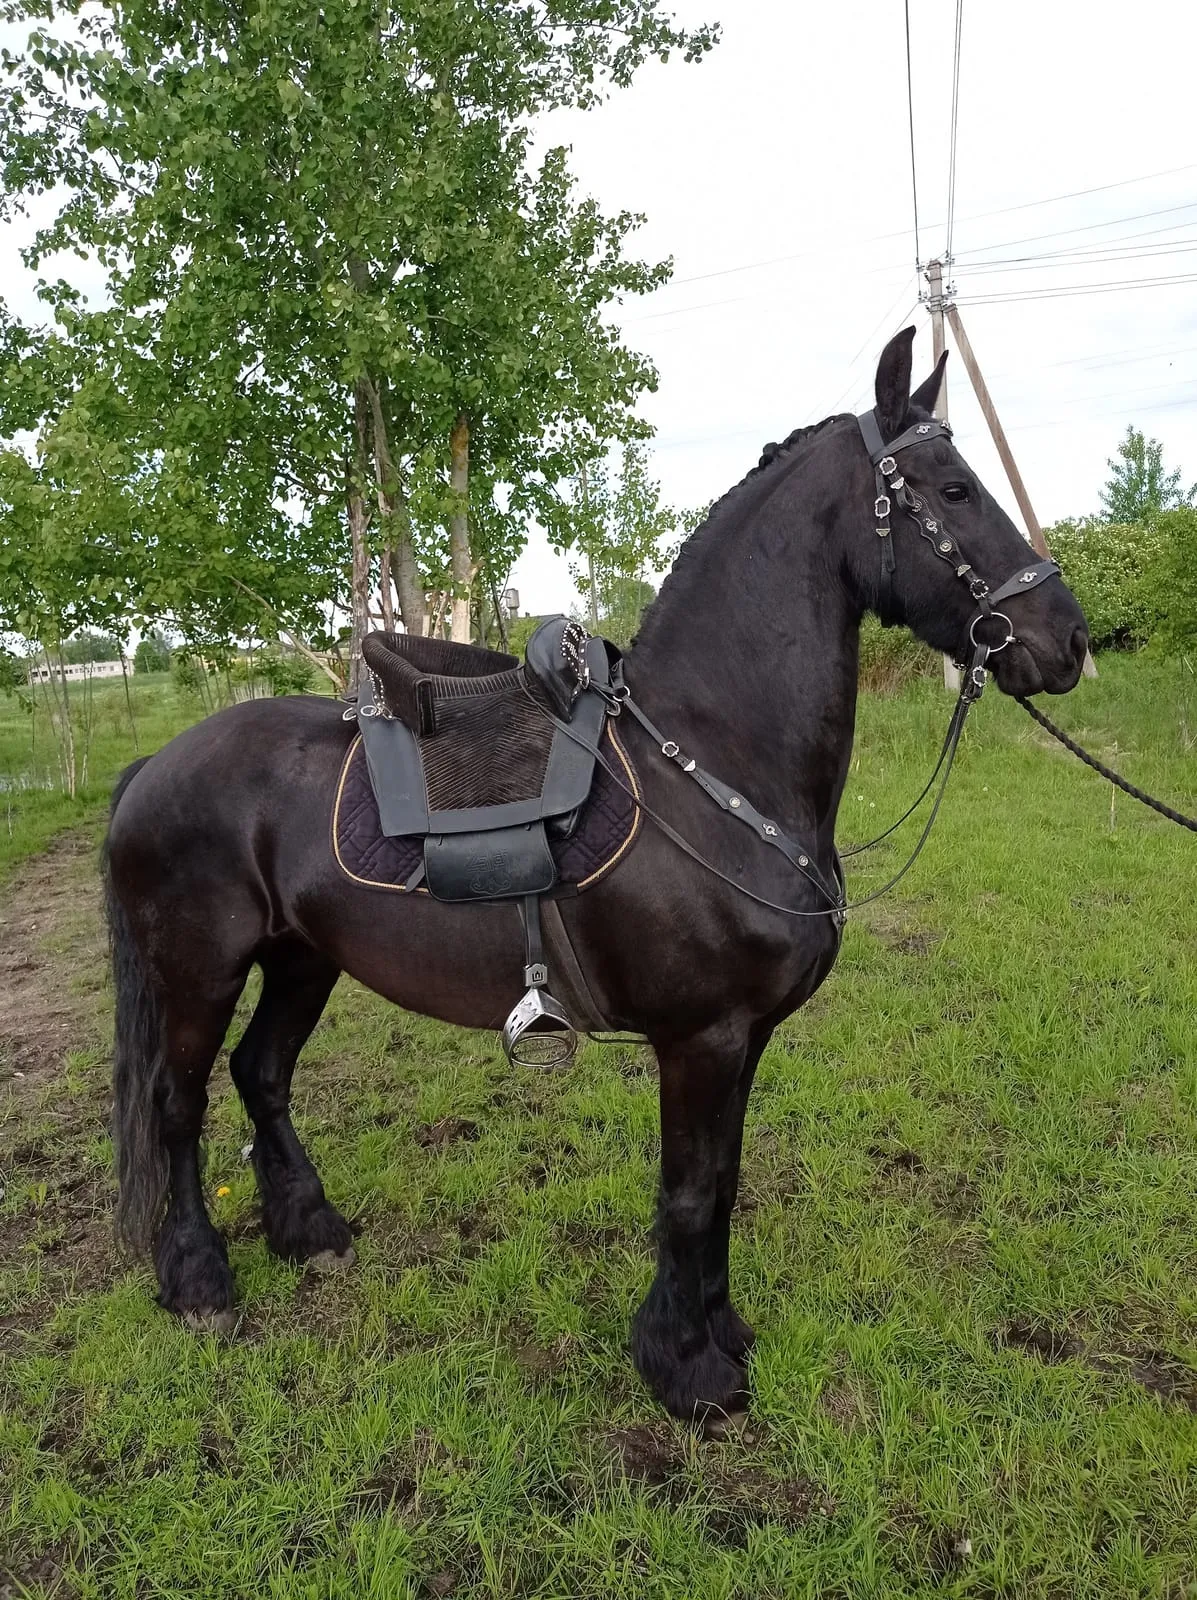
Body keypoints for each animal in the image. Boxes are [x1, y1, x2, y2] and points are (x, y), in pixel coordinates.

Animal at [104, 329, 1089, 1422]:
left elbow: (723, 1183)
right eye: (954, 489)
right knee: (179, 1106)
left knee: (262, 1075)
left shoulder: (742, 1040)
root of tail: (156, 764)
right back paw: (198, 1280)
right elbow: (690, 1193)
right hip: (199, 970)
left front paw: (721, 1334)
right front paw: (687, 1367)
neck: (707, 763)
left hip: (302, 959)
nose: (1068, 639)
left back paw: (309, 1232)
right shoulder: (701, 1040)